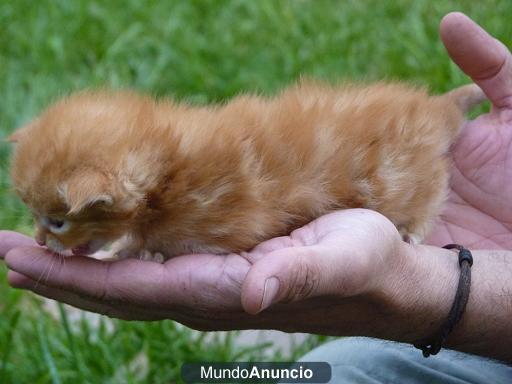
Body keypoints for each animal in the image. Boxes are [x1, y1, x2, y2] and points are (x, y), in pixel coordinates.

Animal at [8, 82, 484, 260]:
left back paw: (411, 231)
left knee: (431, 194)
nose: (39, 240)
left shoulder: (224, 223)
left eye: (57, 221)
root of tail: (435, 111)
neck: (169, 166)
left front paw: (141, 249)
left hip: (408, 181)